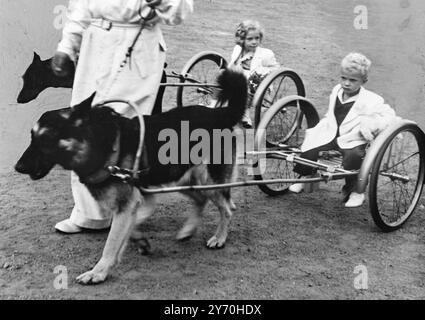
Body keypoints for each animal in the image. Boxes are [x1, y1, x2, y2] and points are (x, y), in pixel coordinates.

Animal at [14, 69, 247, 284]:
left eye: (46, 138)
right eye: (31, 136)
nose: (18, 167)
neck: (99, 144)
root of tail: (220, 113)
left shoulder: (128, 204)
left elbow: (111, 242)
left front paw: (98, 272)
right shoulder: (135, 202)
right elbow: (127, 229)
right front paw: (140, 241)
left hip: (208, 181)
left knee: (228, 207)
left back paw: (219, 238)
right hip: (181, 179)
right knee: (201, 200)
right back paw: (188, 230)